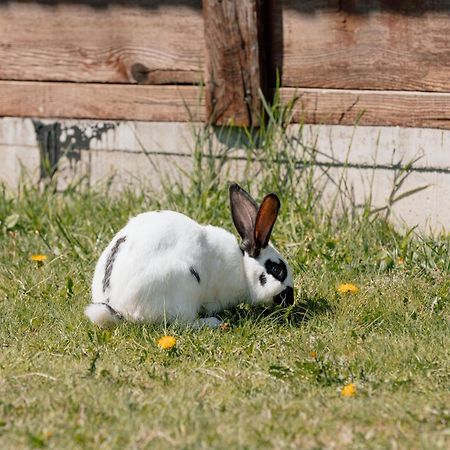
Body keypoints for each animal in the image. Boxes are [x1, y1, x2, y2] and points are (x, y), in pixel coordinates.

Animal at [85, 183, 294, 326]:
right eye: (277, 269)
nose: (290, 299)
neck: (243, 269)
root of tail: (117, 308)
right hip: (184, 285)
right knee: (182, 324)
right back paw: (212, 322)